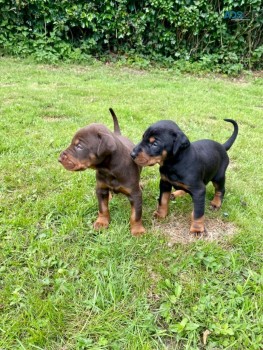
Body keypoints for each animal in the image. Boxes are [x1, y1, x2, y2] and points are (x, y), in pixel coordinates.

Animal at [59, 108, 145, 237]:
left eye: (79, 146)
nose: (59, 159)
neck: (108, 169)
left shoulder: (135, 195)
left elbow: (136, 215)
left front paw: (138, 230)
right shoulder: (100, 189)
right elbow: (102, 208)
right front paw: (102, 222)